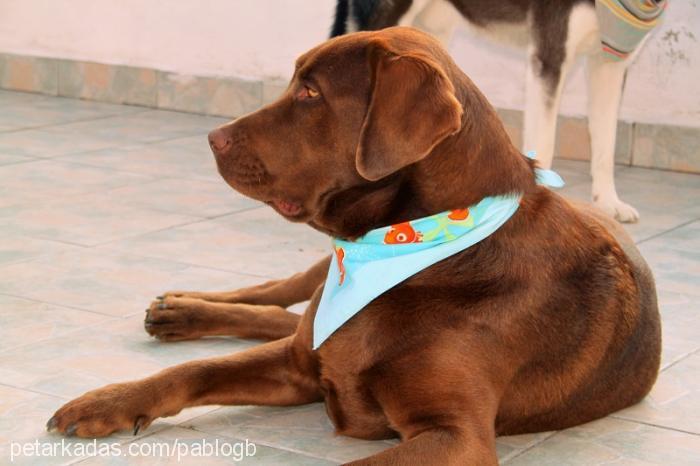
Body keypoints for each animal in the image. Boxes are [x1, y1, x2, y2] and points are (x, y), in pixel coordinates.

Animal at [46, 27, 660, 464]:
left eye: (311, 92)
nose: (212, 137)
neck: (422, 252)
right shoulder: (299, 365)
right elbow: (192, 372)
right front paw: (106, 402)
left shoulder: (455, 435)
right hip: (314, 284)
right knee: (277, 296)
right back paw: (181, 309)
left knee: (287, 314)